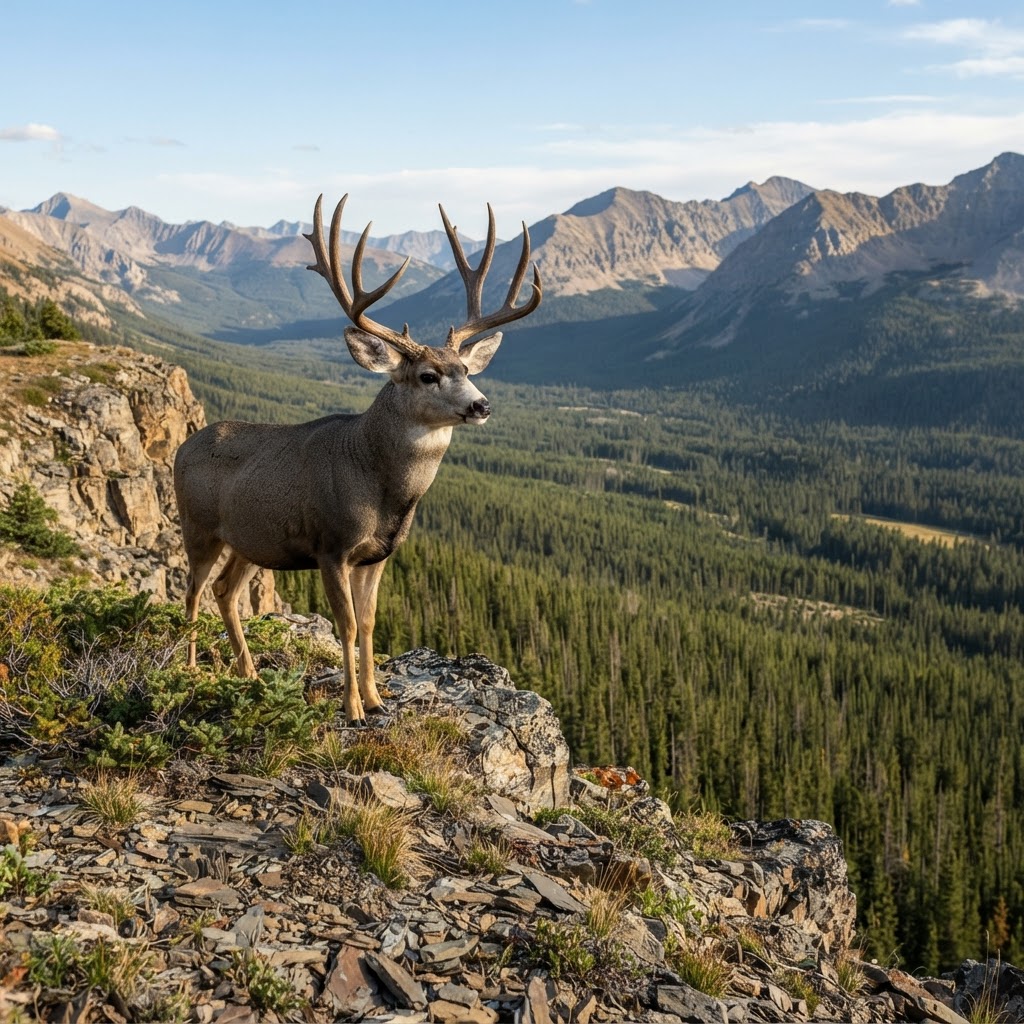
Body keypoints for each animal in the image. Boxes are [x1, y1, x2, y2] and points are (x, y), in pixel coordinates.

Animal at [173, 193, 542, 726]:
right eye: (428, 375)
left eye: (466, 369)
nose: (481, 405)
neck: (380, 488)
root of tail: (183, 446)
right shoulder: (331, 545)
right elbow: (345, 626)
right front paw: (352, 710)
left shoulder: (378, 554)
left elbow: (368, 624)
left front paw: (376, 698)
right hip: (198, 526)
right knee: (192, 591)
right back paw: (189, 668)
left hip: (250, 540)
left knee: (225, 592)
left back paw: (250, 675)